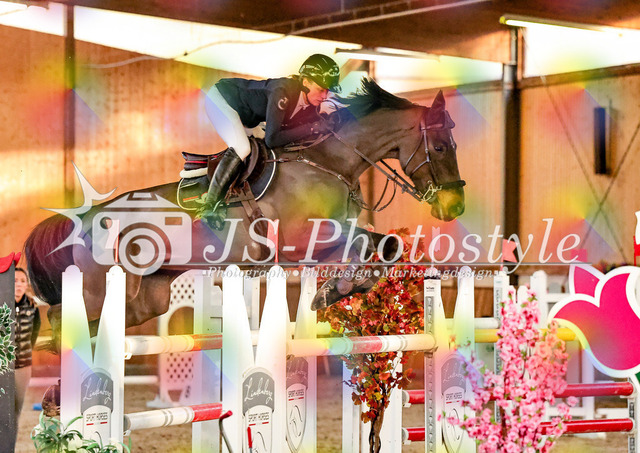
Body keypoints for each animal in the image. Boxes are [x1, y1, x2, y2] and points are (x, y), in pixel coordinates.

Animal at [24, 79, 465, 341]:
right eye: (441, 146)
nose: (455, 206)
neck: (328, 162)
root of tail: (86, 219)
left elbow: (384, 245)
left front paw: (343, 289)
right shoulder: (300, 240)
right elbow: (363, 245)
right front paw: (337, 290)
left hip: (144, 298)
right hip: (98, 287)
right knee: (61, 318)